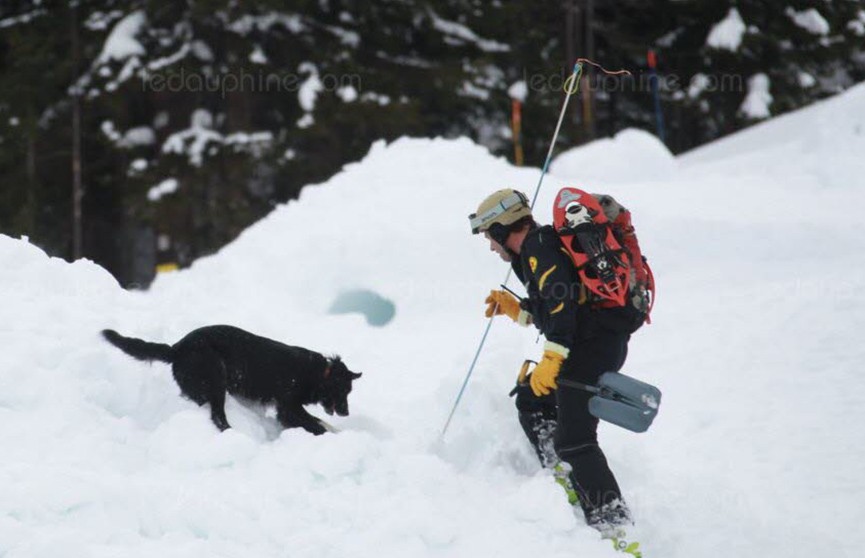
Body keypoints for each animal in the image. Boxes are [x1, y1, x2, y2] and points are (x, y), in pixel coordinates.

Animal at [104, 324, 362, 438]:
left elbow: (318, 421)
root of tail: (177, 349)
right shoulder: (288, 407)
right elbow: (315, 424)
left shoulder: (287, 409)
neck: (317, 373)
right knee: (218, 418)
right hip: (215, 382)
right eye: (343, 391)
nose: (346, 412)